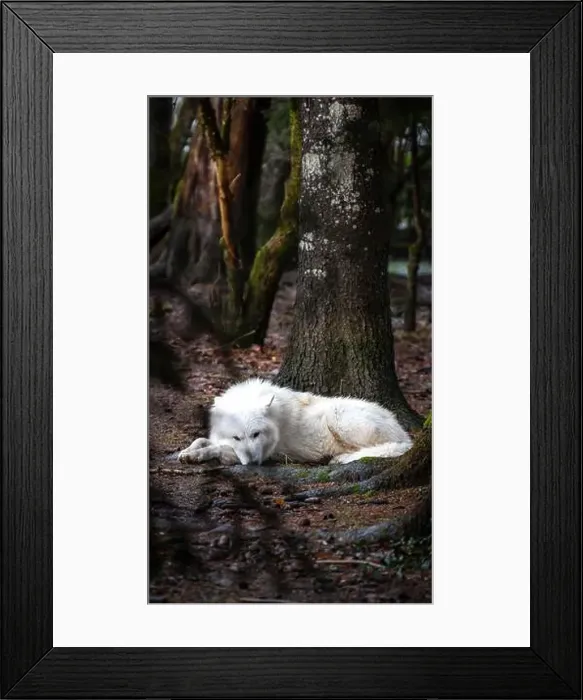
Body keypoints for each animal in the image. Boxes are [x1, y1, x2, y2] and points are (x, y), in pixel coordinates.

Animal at [178, 377, 412, 467]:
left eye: (256, 434)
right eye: (237, 437)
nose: (253, 464)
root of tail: (407, 436)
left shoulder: (261, 454)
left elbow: (215, 449)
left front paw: (195, 456)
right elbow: (202, 440)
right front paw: (186, 452)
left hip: (338, 417)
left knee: (378, 449)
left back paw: (340, 458)